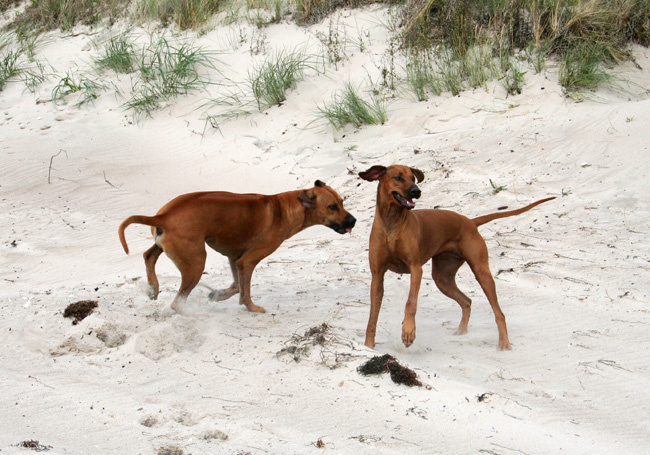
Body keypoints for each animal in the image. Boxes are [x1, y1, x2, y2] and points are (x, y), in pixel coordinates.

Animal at [119, 180, 356, 316]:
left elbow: (236, 286)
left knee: (149, 255)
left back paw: (153, 287)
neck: (283, 209)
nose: (353, 221)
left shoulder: (235, 258)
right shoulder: (247, 261)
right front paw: (252, 308)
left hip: (169, 247)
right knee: (178, 302)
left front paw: (219, 295)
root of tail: (163, 216)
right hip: (195, 263)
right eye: (332, 207)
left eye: (342, 202)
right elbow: (245, 292)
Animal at [360, 166, 552, 350]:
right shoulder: (377, 275)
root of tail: (471, 222)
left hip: (481, 272)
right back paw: (461, 331)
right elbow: (372, 316)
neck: (391, 224)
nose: (416, 191)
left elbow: (410, 303)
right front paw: (368, 346)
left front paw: (408, 331)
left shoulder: (416, 269)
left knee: (499, 313)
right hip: (443, 278)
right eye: (398, 177)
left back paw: (504, 343)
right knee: (466, 301)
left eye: (413, 177)